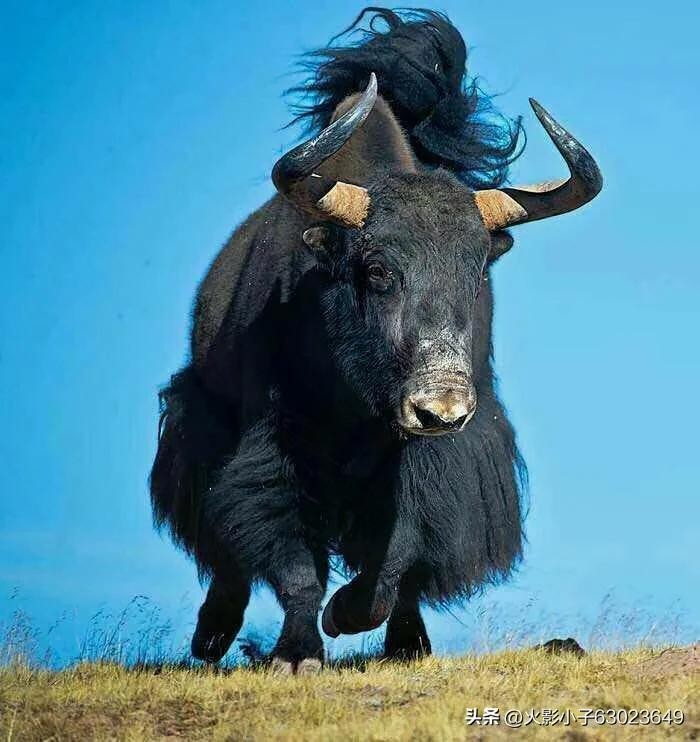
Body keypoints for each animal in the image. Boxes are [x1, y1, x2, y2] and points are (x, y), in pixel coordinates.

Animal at [150, 9, 602, 673]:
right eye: (379, 270)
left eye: (476, 271)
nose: (441, 409)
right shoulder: (273, 447)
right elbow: (294, 559)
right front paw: (298, 655)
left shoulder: (436, 465)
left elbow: (399, 559)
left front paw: (347, 614)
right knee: (227, 546)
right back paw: (211, 636)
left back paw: (408, 645)